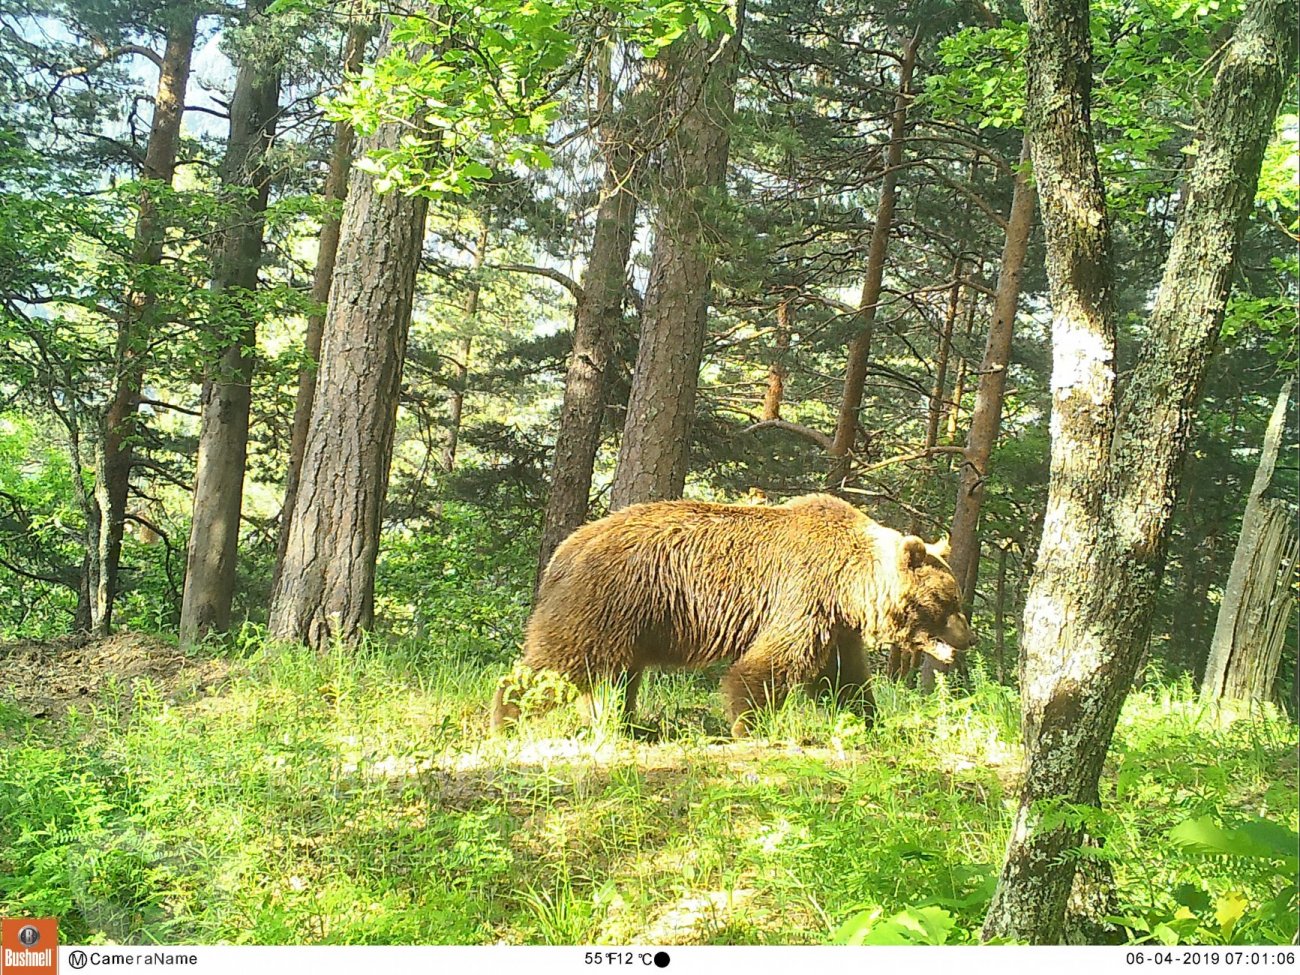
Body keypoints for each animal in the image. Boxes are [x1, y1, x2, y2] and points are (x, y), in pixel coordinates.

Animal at [491, 496, 972, 738]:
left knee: (614, 678)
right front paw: (750, 725)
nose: (968, 639)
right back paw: (506, 718)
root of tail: (566, 549)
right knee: (559, 663)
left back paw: (620, 723)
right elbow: (770, 664)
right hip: (607, 600)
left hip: (629, 620)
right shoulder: (804, 595)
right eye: (948, 601)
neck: (853, 586)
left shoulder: (836, 625)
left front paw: (871, 722)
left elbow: (844, 678)